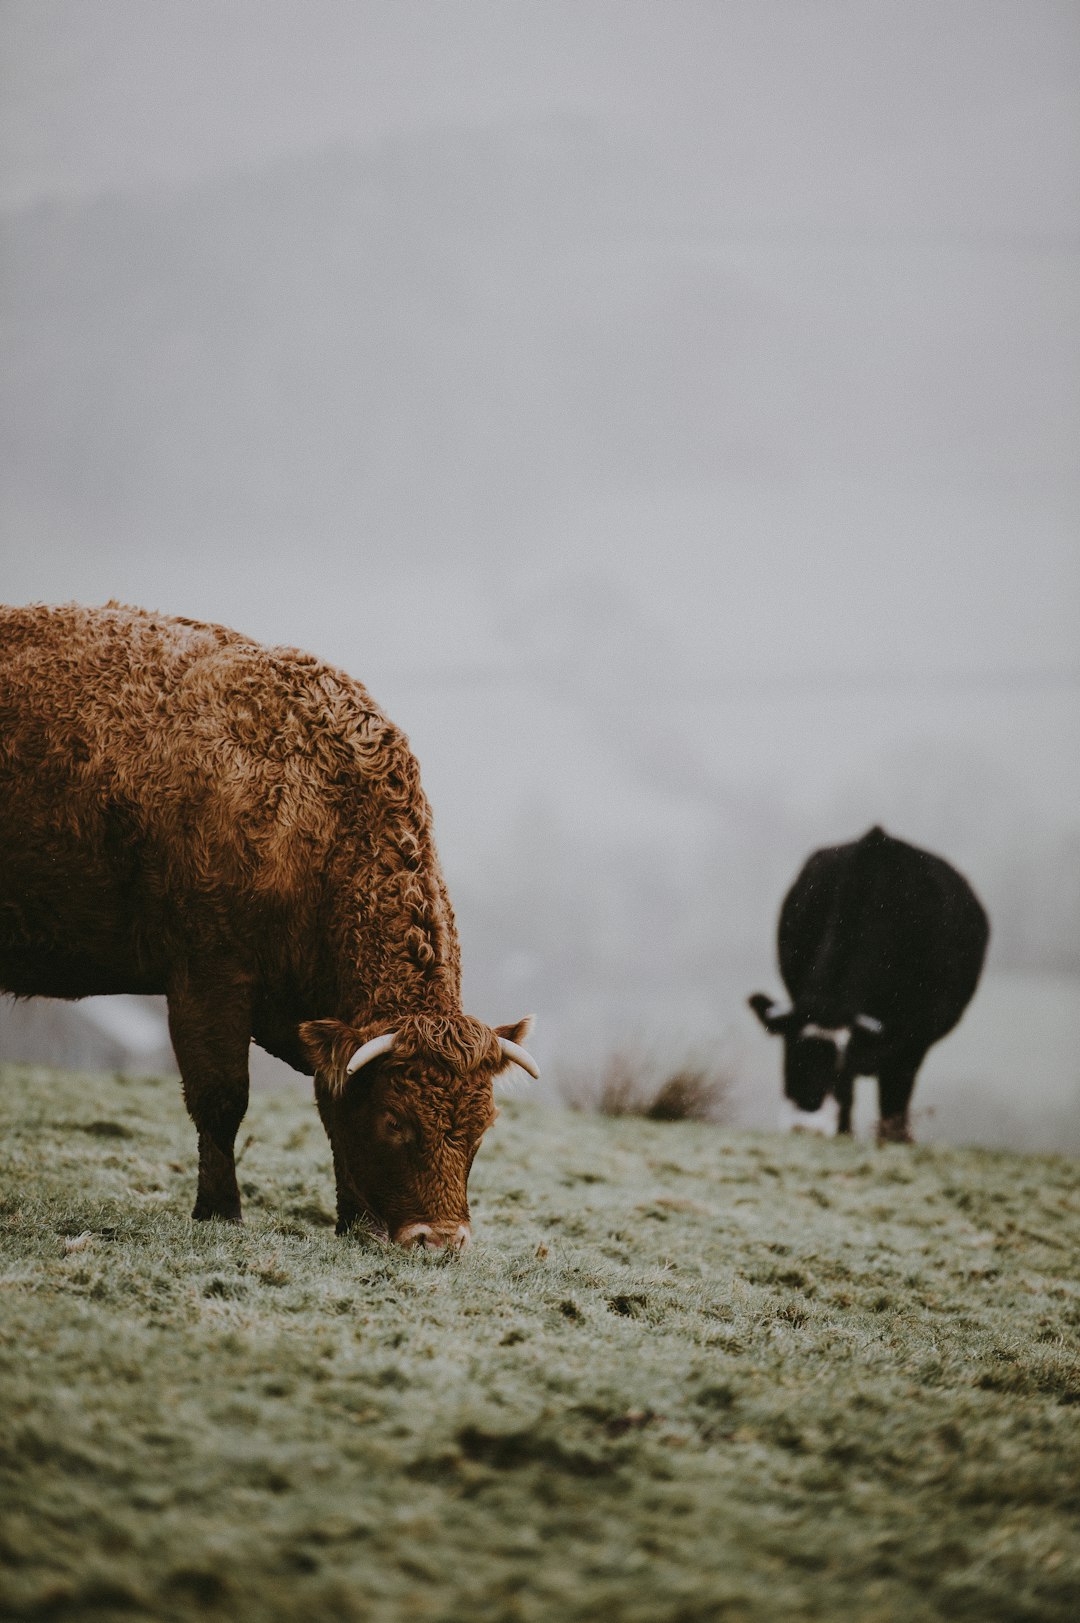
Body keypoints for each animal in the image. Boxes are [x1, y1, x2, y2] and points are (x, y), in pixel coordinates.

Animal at [0, 603, 539, 1246]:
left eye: (483, 1126)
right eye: (395, 1120)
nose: (442, 1239)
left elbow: (332, 1104)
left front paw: (355, 1222)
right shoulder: (206, 976)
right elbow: (221, 1099)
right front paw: (220, 1210)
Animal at [750, 830, 987, 1149]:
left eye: (839, 1064)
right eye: (790, 1055)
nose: (807, 1127)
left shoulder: (913, 1040)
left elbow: (895, 1092)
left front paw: (892, 1137)